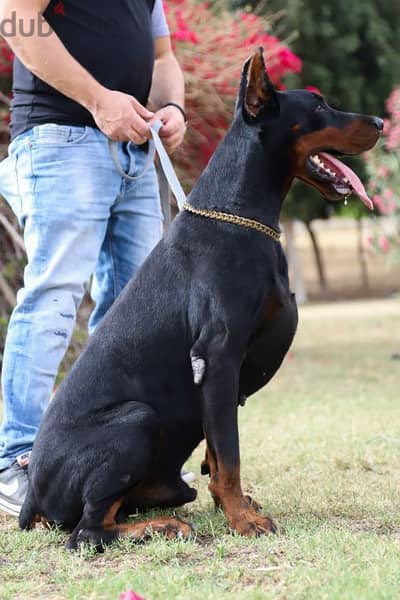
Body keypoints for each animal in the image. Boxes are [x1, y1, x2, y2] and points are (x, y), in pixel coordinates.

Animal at [18, 49, 382, 552]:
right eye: (320, 105)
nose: (381, 122)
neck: (238, 213)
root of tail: (33, 494)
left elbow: (217, 452)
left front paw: (237, 507)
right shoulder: (218, 356)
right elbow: (229, 455)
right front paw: (243, 521)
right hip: (137, 419)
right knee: (86, 533)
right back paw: (162, 528)